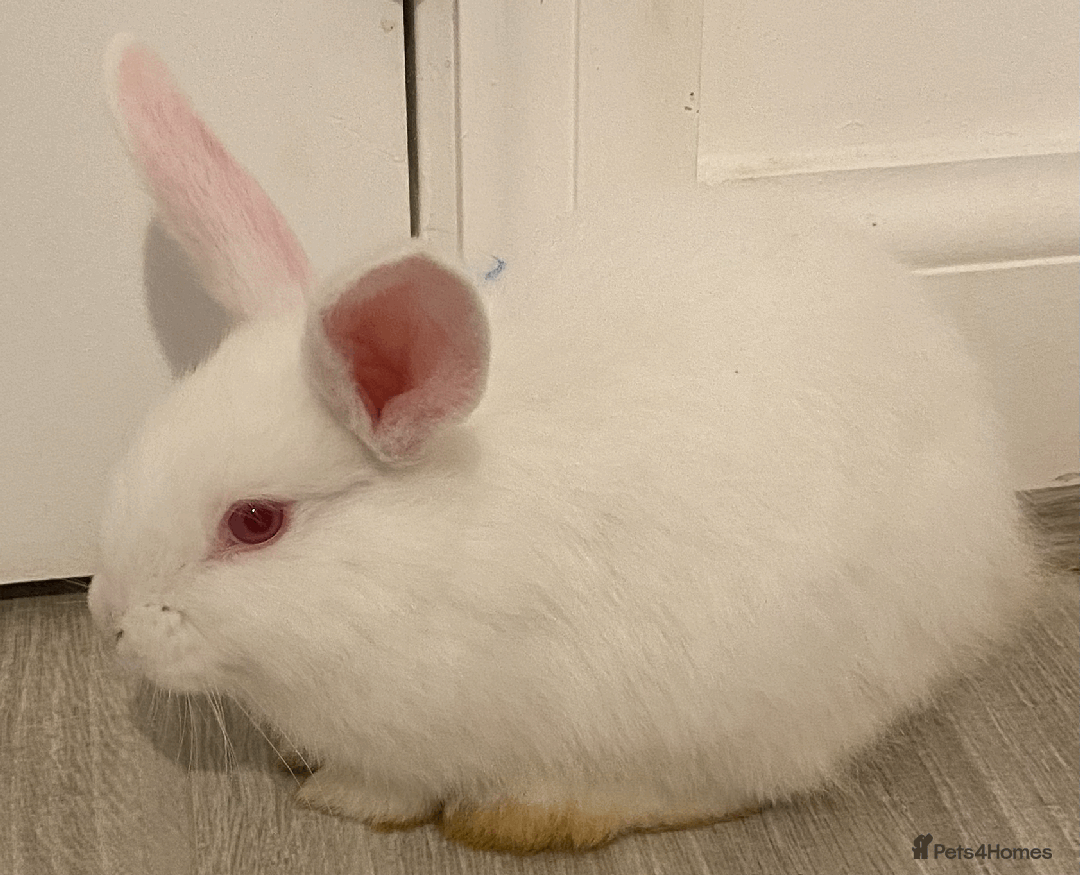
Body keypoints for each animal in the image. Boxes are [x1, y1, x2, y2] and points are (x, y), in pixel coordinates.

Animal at [88, 34, 1042, 854]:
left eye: (255, 522)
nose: (109, 617)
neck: (432, 557)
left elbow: (392, 783)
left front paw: (343, 798)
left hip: (772, 688)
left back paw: (534, 815)